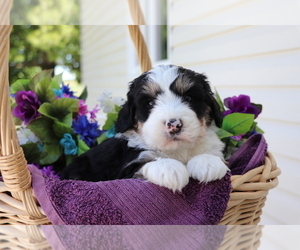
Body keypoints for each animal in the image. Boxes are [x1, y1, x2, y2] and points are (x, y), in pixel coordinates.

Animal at [61, 64, 230, 191]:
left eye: (188, 98)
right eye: (149, 103)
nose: (174, 125)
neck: (177, 150)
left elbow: (212, 155)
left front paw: (207, 162)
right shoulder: (127, 169)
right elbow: (147, 162)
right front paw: (170, 169)